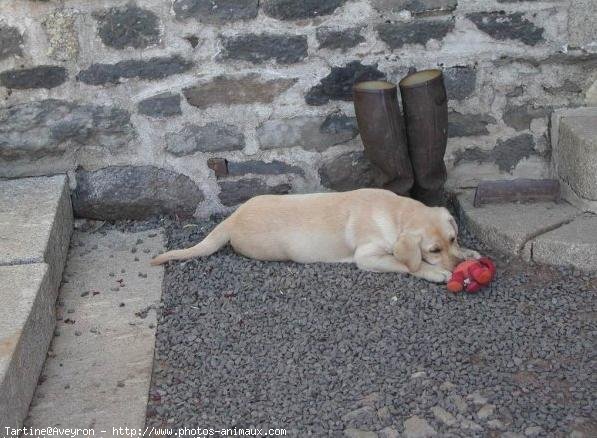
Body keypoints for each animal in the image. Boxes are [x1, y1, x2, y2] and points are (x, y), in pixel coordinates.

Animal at [150, 188, 480, 284]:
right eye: (433, 250)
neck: (395, 212)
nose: (456, 267)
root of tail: (232, 218)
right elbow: (405, 264)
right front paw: (432, 272)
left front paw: (469, 254)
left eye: (452, 239)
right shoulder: (367, 257)